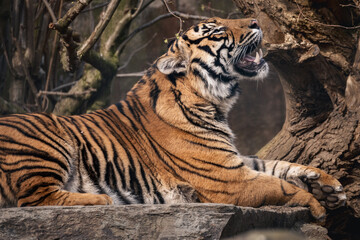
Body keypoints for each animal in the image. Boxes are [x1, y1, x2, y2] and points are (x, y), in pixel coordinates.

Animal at [0, 16, 346, 219]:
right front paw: (316, 204)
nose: (255, 19)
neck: (214, 103)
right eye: (219, 30)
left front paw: (329, 186)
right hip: (46, 140)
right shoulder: (227, 180)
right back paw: (103, 201)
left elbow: (279, 165)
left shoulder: (231, 162)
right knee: (34, 199)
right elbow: (280, 185)